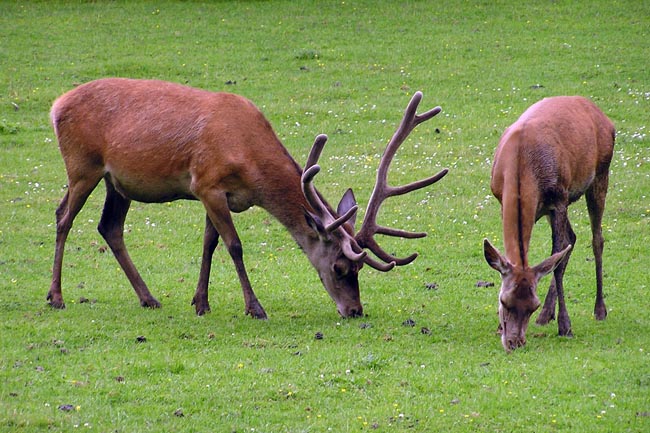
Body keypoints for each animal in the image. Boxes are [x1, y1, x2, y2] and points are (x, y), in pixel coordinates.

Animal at [49, 78, 446, 318]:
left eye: (361, 268)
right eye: (339, 267)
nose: (355, 310)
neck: (250, 163)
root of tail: (57, 104)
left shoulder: (214, 193)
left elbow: (209, 243)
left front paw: (201, 302)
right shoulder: (206, 184)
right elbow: (234, 245)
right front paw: (254, 307)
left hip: (117, 182)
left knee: (109, 227)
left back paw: (148, 298)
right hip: (82, 165)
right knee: (63, 218)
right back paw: (56, 297)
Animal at [480, 95, 612, 352]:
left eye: (533, 305)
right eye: (503, 300)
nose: (515, 342)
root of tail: (600, 113)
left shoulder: (559, 198)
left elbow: (557, 261)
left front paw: (565, 325)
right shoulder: (502, 199)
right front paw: (500, 327)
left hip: (600, 173)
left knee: (596, 239)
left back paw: (599, 309)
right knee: (572, 238)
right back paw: (547, 316)